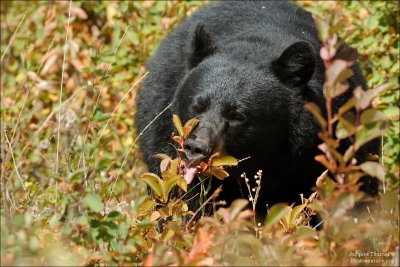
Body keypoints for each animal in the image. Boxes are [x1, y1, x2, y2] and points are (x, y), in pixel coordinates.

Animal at [135, 1, 378, 219]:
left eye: (237, 115)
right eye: (197, 106)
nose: (196, 148)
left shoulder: (332, 138)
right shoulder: (166, 136)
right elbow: (185, 198)